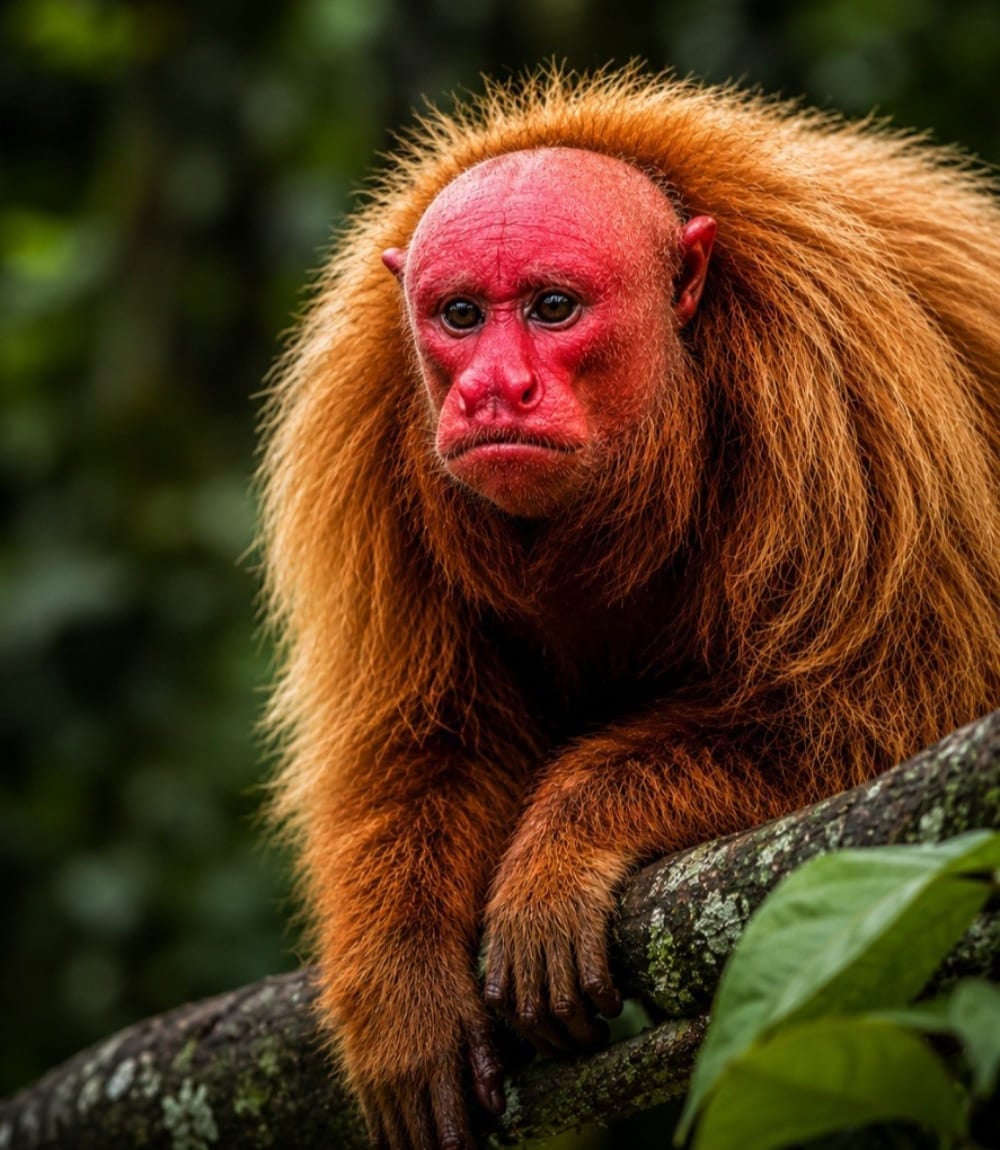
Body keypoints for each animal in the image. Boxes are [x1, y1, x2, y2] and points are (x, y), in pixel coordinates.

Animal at [259, 69, 1000, 1149]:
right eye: (459, 315)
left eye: (553, 308)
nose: (492, 390)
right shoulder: (372, 425)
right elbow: (421, 733)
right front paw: (405, 994)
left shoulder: (844, 391)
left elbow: (881, 712)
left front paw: (564, 843)